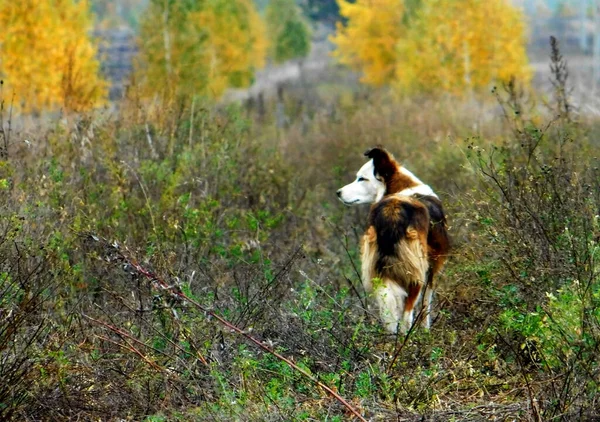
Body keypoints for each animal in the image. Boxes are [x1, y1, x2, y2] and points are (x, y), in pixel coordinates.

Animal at [336, 146, 448, 332]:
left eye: (361, 178)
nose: (338, 193)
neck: (402, 188)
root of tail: (393, 212)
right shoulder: (433, 268)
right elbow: (426, 306)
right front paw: (426, 332)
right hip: (415, 274)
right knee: (407, 316)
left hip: (379, 274)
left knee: (390, 316)